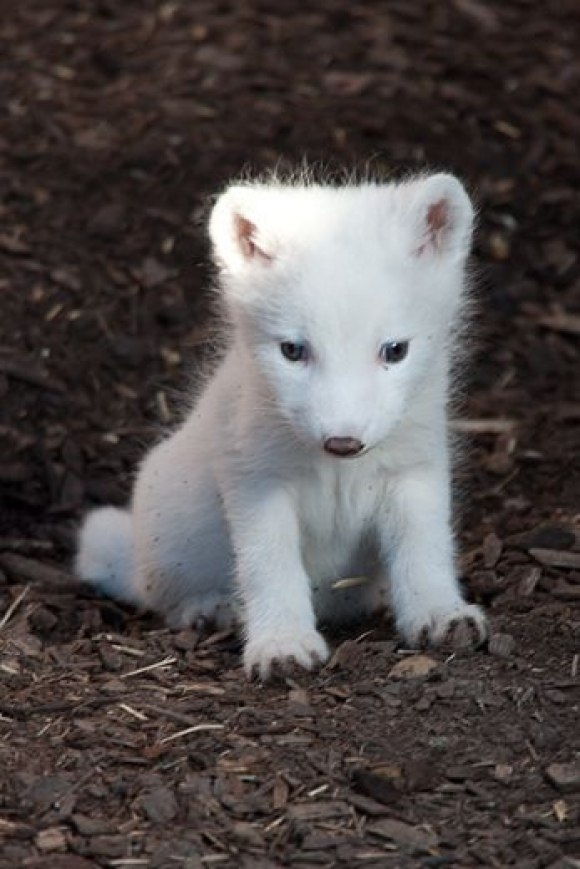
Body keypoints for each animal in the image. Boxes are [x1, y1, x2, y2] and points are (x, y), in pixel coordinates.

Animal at [76, 170, 488, 679]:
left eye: (395, 351)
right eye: (293, 351)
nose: (343, 442)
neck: (339, 473)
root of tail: (135, 559)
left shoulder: (416, 470)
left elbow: (425, 550)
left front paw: (439, 612)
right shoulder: (255, 482)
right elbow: (269, 567)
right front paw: (281, 643)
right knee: (165, 597)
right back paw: (210, 608)